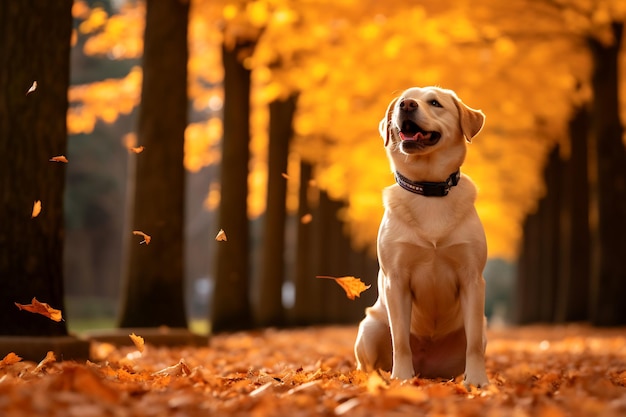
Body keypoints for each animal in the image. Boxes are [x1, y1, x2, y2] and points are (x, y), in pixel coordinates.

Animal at [352, 85, 488, 386]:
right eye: (403, 100)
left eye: (435, 103)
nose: (407, 105)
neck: (429, 189)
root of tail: (427, 370)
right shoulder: (396, 280)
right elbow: (401, 341)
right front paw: (401, 378)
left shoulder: (472, 278)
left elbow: (473, 344)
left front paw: (477, 382)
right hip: (369, 327)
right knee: (367, 364)